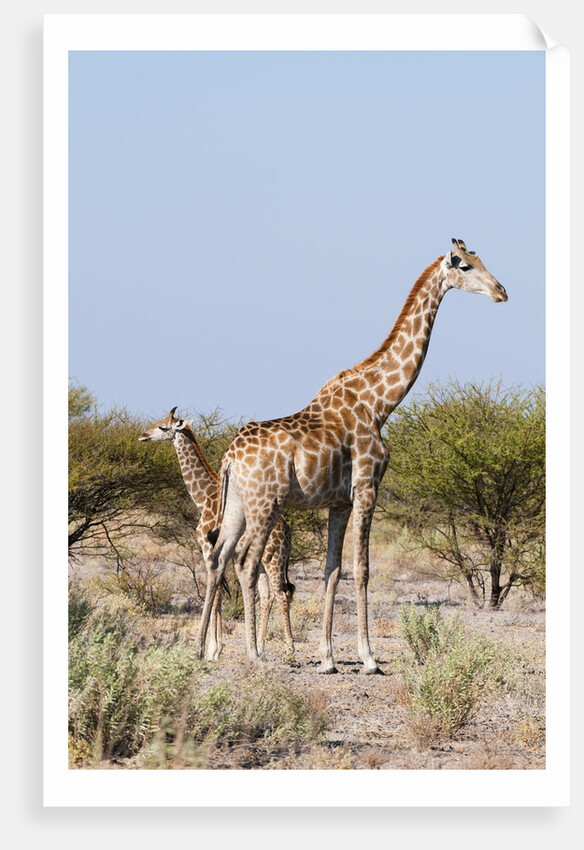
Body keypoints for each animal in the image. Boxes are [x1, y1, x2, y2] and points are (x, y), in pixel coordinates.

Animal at [138, 408, 295, 661]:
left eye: (163, 427)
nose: (143, 436)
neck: (203, 498)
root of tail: (288, 532)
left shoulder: (207, 546)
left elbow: (217, 592)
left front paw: (213, 650)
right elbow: (221, 590)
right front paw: (216, 648)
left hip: (274, 559)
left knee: (282, 594)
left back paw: (290, 651)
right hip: (264, 561)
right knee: (268, 595)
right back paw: (260, 646)